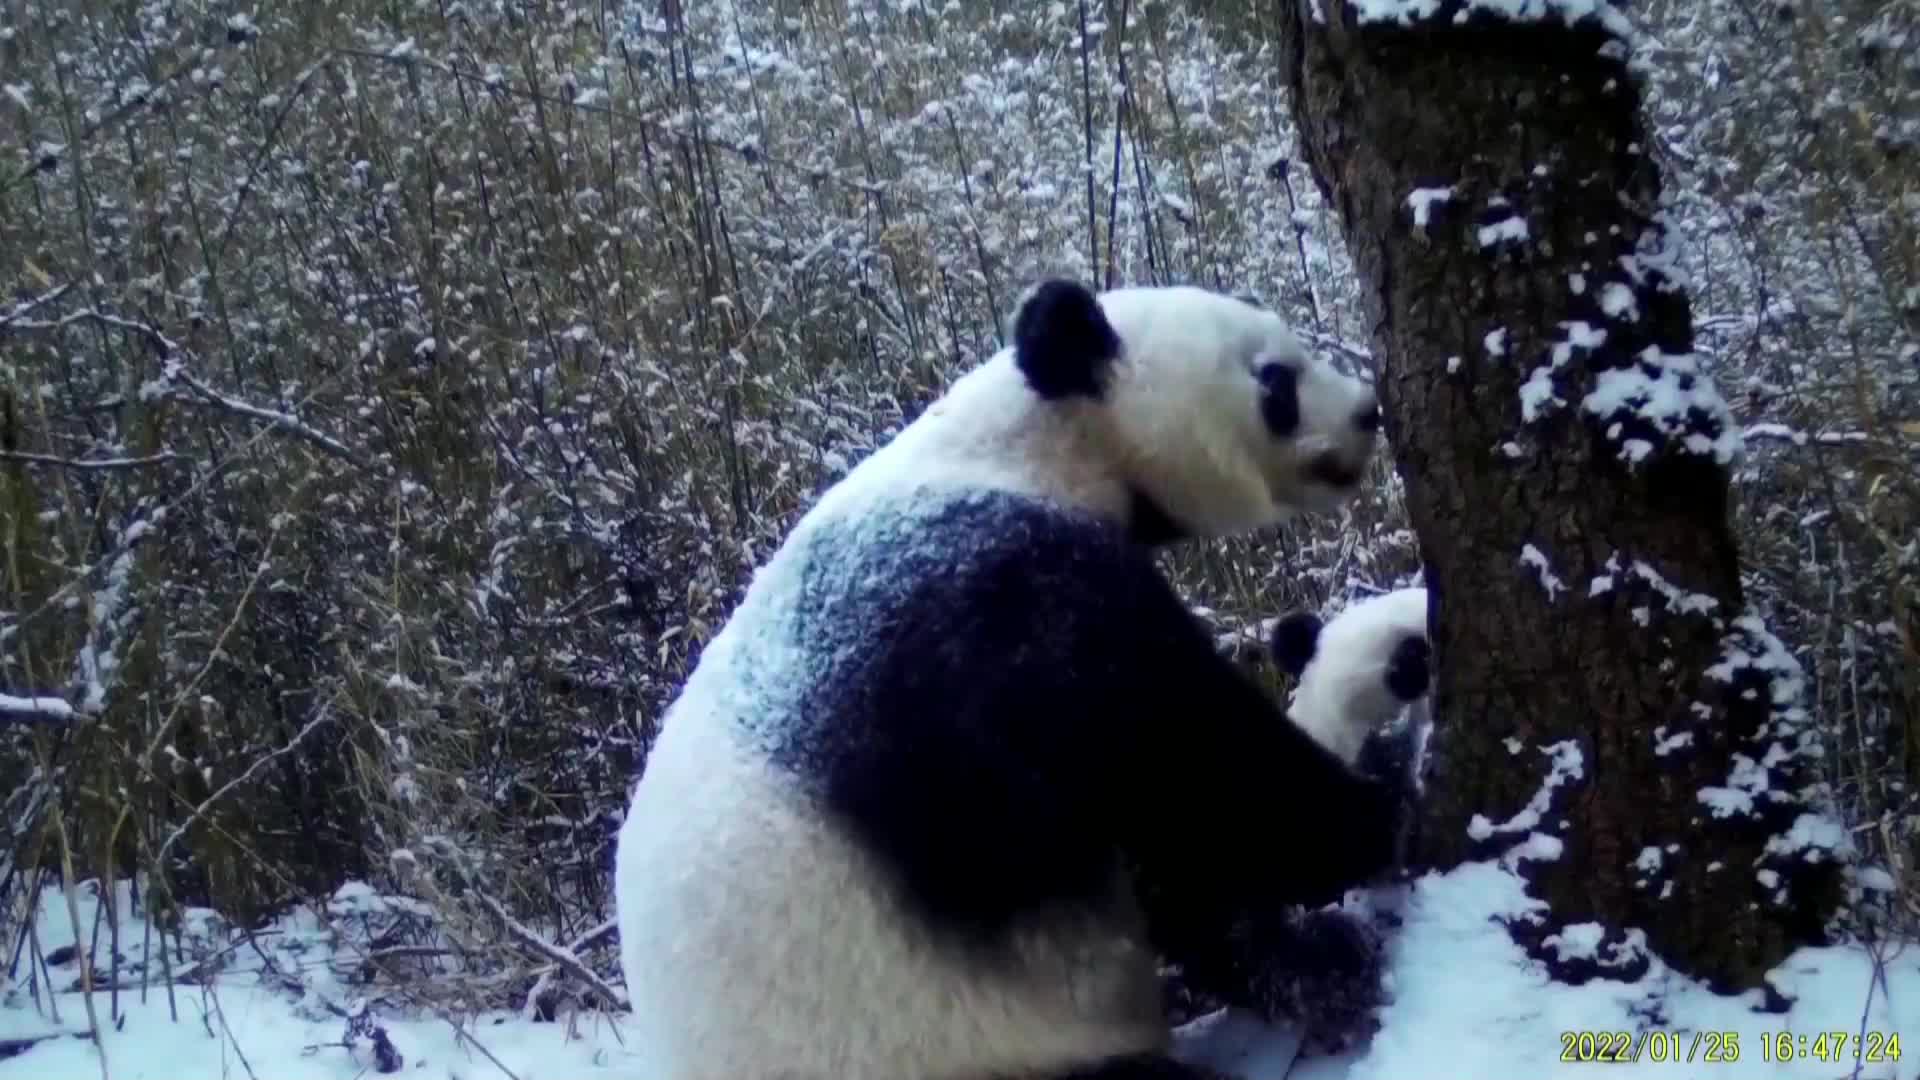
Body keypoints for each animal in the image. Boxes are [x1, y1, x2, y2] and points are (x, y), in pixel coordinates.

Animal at [618, 276, 1413, 1076]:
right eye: (1276, 380)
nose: (1367, 411)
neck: (1023, 448)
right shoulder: (990, 615)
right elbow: (1192, 775)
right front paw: (1381, 809)